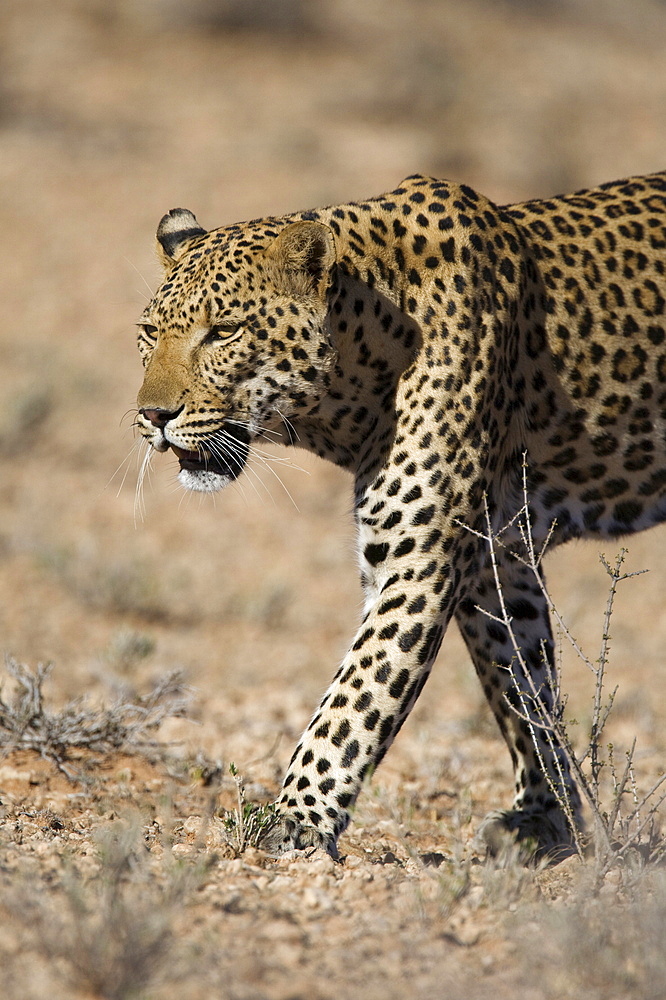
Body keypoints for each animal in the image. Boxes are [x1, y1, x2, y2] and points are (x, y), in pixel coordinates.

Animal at [135, 172, 664, 860]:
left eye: (224, 332)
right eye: (149, 332)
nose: (152, 415)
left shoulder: (421, 562)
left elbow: (356, 698)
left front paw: (292, 819)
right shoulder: (498, 561)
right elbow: (525, 690)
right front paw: (549, 821)